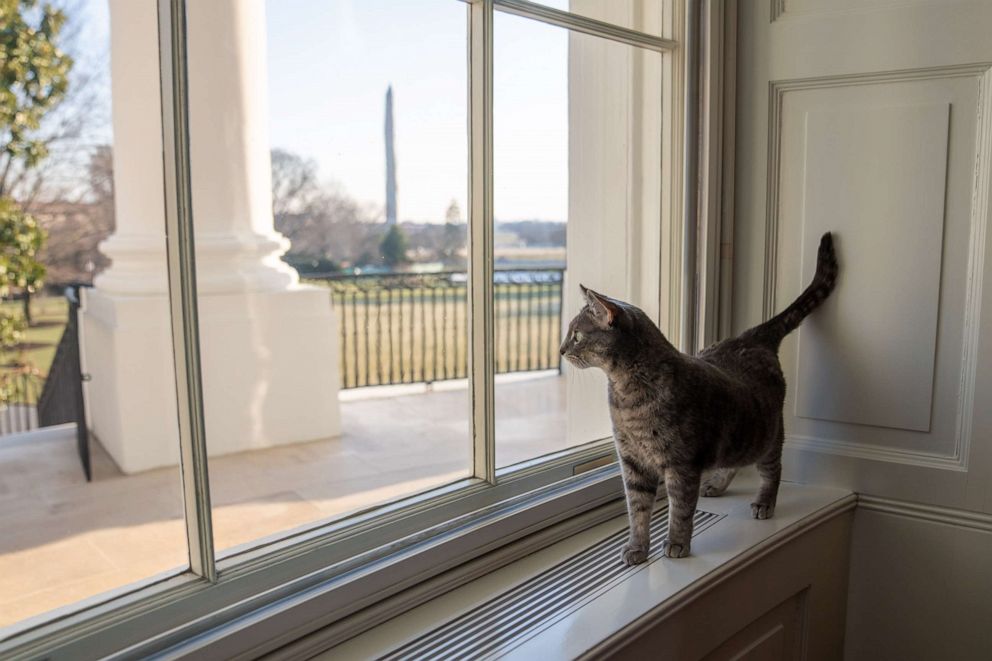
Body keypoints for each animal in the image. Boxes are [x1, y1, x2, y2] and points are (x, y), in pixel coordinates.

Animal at [560, 232, 832, 564]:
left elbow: (680, 509)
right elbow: (637, 510)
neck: (626, 394)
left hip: (767, 436)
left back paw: (765, 502)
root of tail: (752, 336)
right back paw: (716, 484)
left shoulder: (682, 463)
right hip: (739, 442)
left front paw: (676, 543)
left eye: (576, 335)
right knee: (733, 463)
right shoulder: (633, 461)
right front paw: (637, 547)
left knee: (773, 470)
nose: (561, 349)